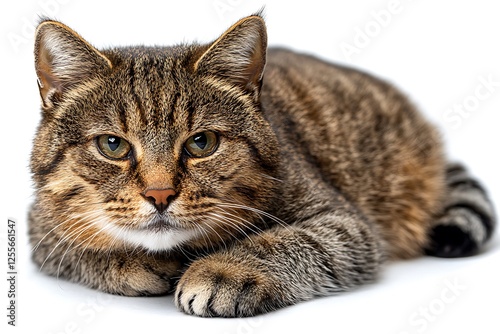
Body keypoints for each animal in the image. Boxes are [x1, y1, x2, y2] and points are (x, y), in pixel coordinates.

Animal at [29, 13, 494, 316]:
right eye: (113, 145)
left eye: (201, 143)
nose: (160, 194)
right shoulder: (40, 225)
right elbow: (73, 249)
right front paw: (129, 261)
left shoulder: (344, 224)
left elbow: (286, 241)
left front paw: (224, 270)